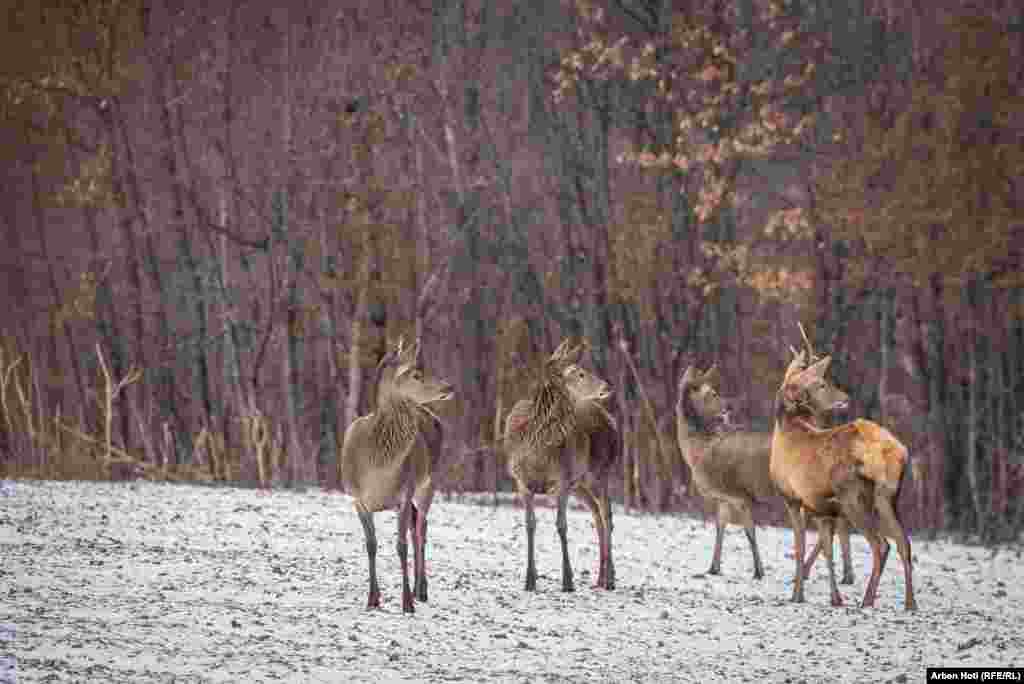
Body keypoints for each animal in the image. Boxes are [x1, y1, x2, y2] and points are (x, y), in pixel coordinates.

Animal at [342, 337, 454, 614]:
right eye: (416, 373)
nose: (449, 386)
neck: (378, 470)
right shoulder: (357, 499)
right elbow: (371, 545)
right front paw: (373, 599)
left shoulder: (405, 493)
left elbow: (401, 546)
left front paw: (406, 603)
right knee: (416, 526)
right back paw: (416, 588)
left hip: (428, 483)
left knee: (421, 529)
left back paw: (420, 590)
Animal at [503, 339, 614, 593]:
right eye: (579, 373)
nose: (606, 387)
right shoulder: (521, 482)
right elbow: (529, 525)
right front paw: (530, 580)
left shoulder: (562, 480)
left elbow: (561, 525)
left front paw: (568, 581)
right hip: (580, 484)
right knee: (596, 515)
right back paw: (600, 578)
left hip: (601, 472)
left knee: (607, 516)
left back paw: (610, 579)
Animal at [675, 362, 851, 581]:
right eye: (712, 393)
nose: (727, 407)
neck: (699, 452)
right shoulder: (723, 498)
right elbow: (720, 527)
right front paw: (713, 568)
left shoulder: (740, 495)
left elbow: (750, 532)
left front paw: (759, 571)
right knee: (841, 524)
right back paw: (845, 576)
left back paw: (807, 572)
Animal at [770, 348, 917, 610]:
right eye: (821, 383)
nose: (844, 398)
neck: (785, 431)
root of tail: (898, 451)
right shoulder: (821, 509)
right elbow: (828, 551)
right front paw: (835, 598)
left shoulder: (792, 498)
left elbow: (800, 547)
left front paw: (797, 596)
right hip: (888, 496)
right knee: (903, 542)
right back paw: (910, 603)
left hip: (853, 497)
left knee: (881, 544)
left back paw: (867, 600)